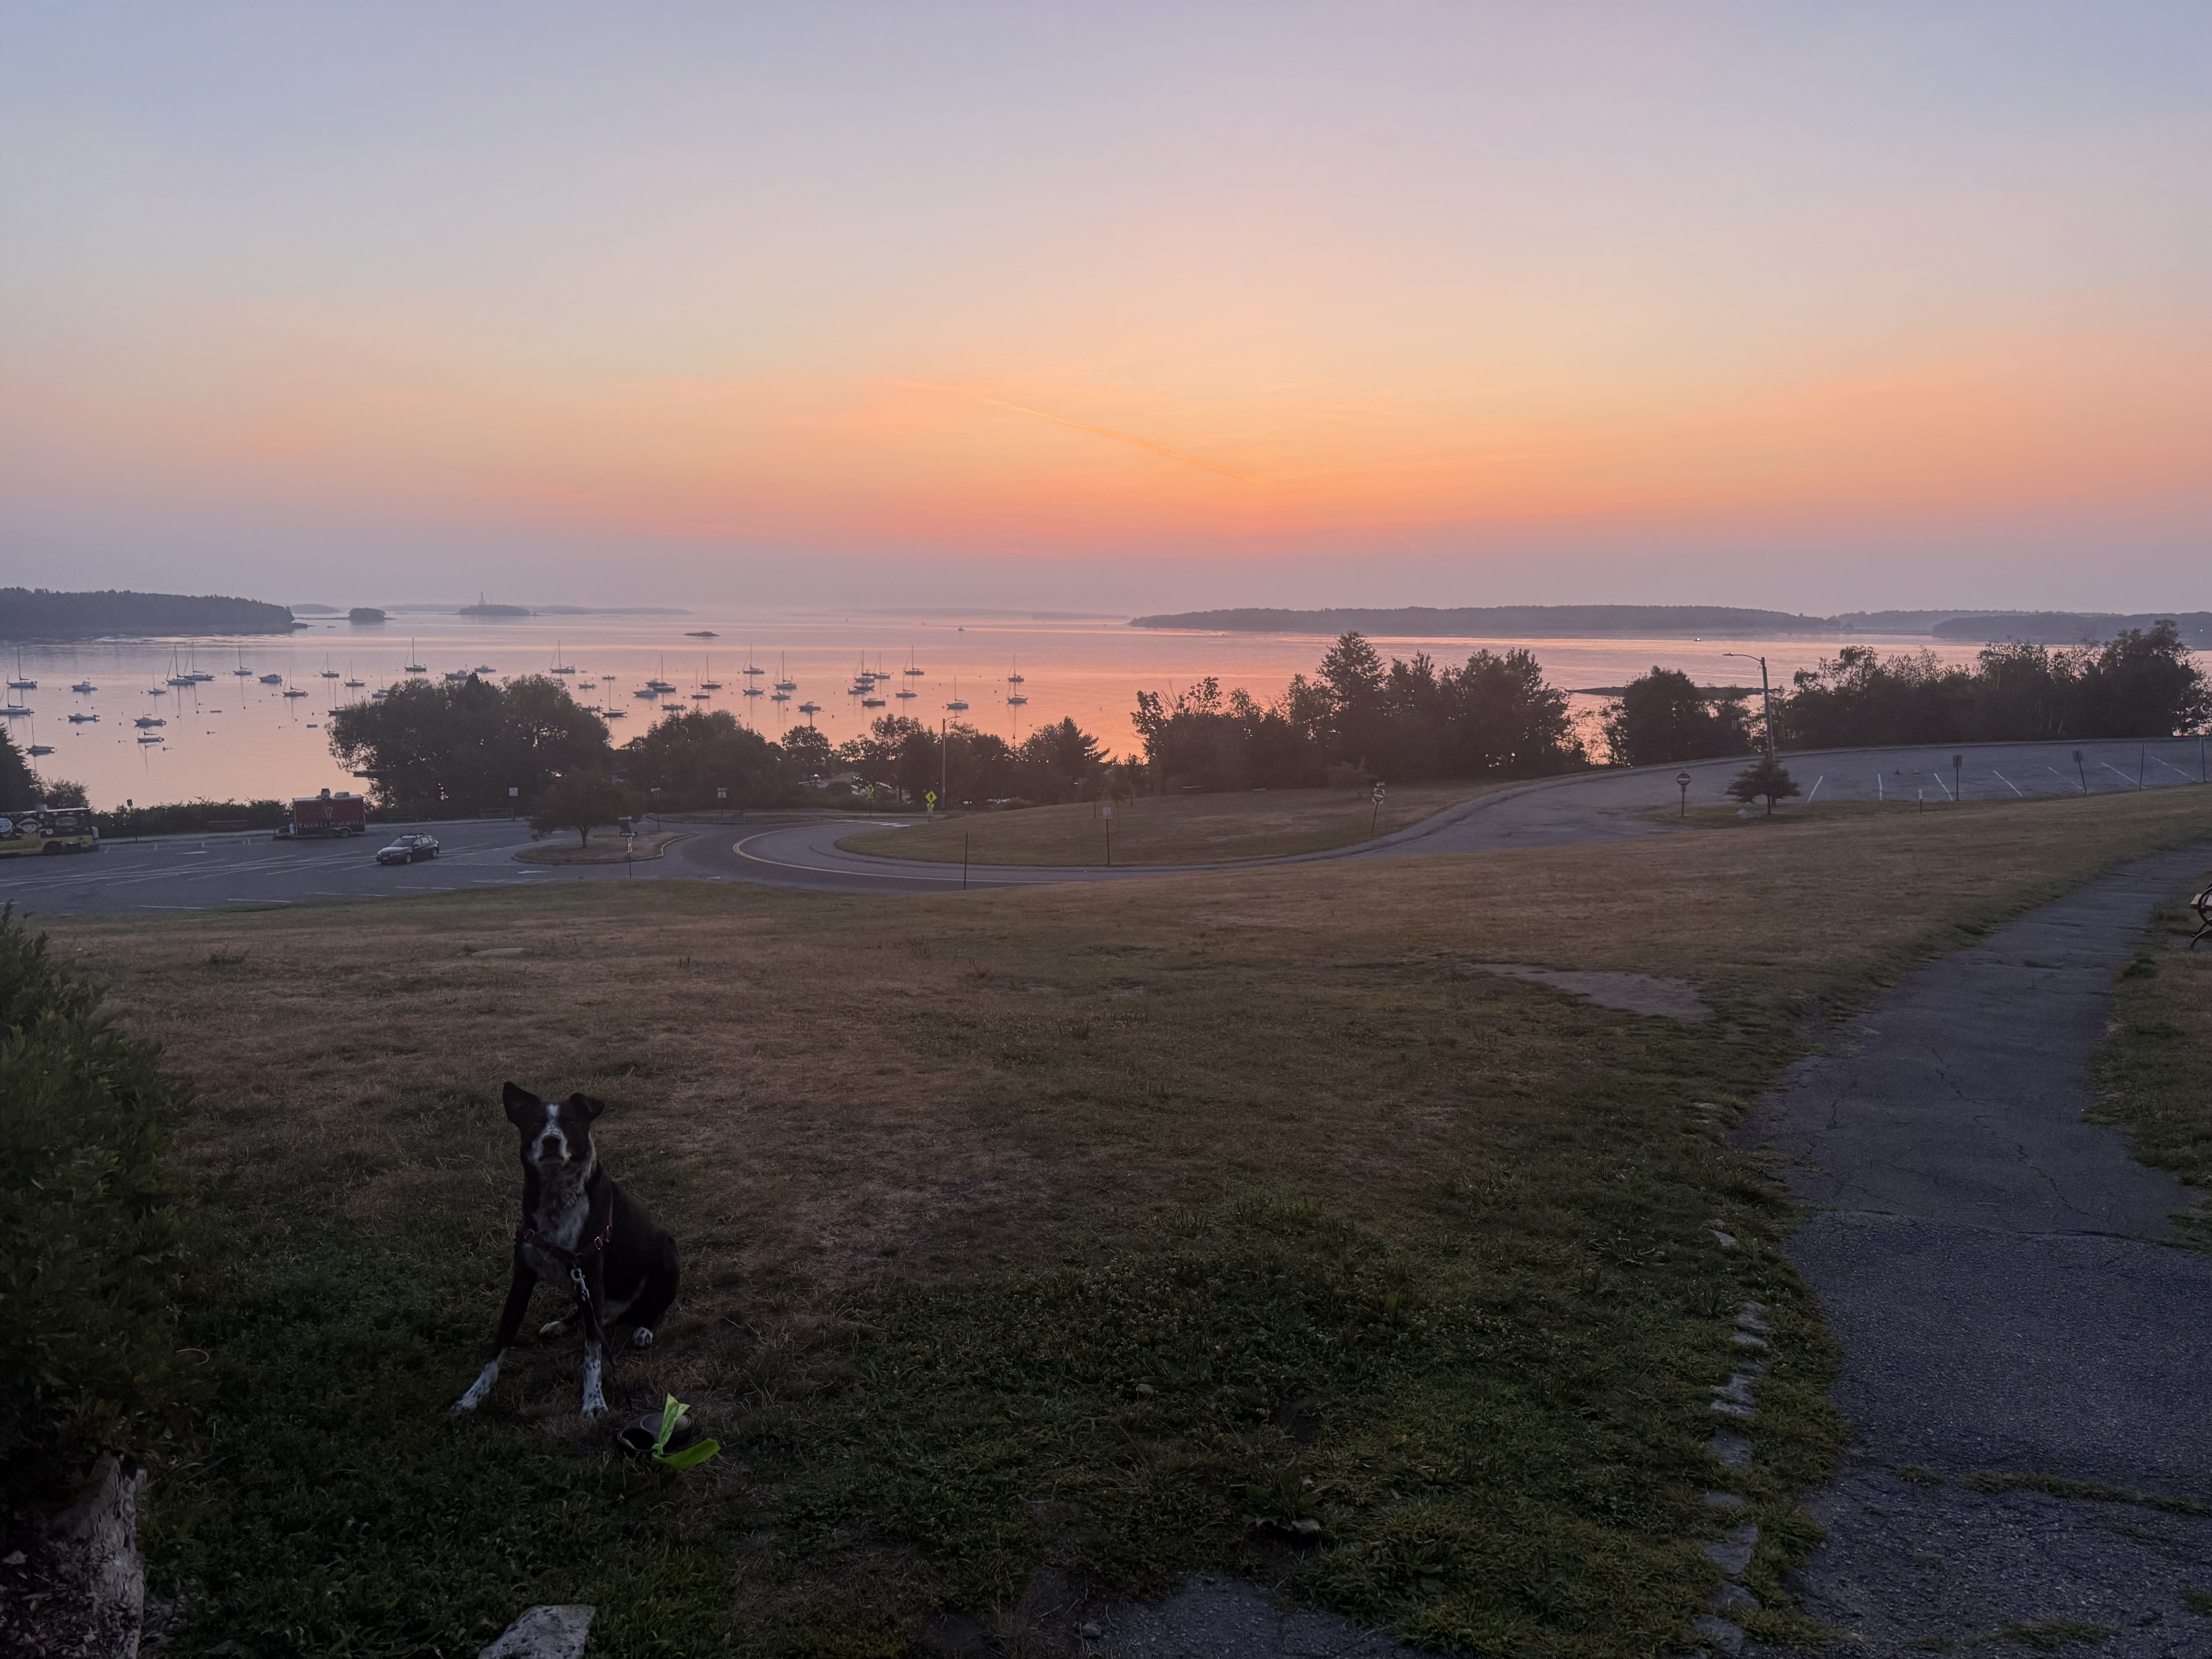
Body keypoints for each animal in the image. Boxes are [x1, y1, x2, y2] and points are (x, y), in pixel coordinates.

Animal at [452, 1082, 682, 1418]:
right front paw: (473, 1396)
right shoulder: (523, 1280)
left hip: (667, 1257)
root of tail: (622, 1312)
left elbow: (592, 1354)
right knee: (587, 1318)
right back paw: (561, 1325)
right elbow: (499, 1346)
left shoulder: (592, 1276)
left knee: (655, 1310)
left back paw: (643, 1330)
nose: (551, 1140)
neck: (557, 1198)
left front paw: (594, 1401)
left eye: (571, 1123)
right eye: (535, 1122)